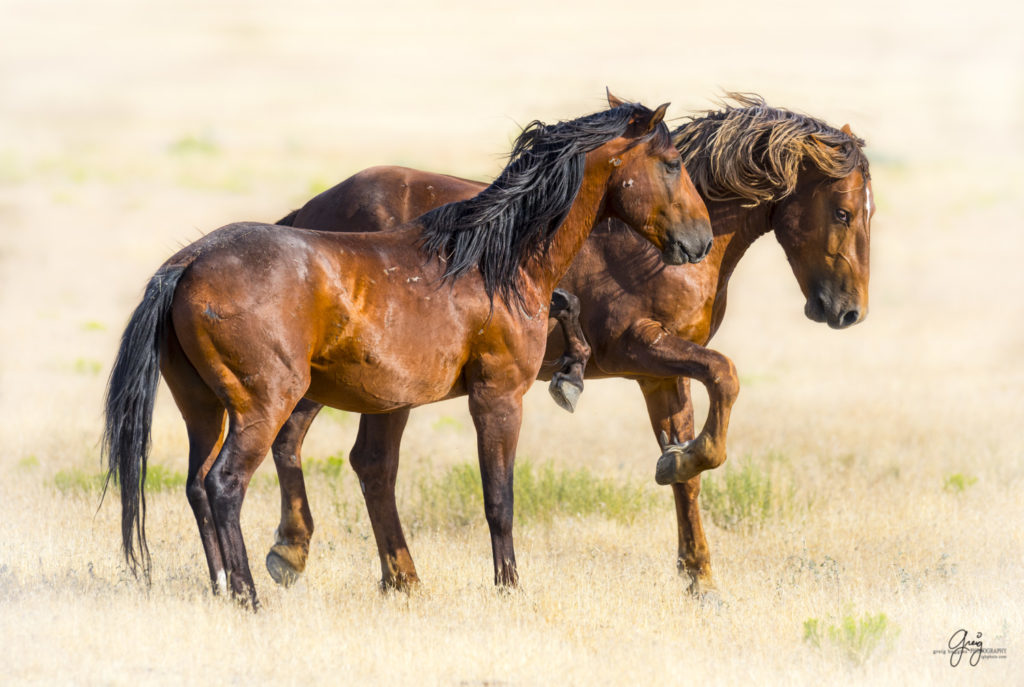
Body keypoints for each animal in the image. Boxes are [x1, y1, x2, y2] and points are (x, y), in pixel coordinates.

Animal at [103, 98, 712, 606]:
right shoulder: (498, 398)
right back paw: (251, 595)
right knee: (225, 484)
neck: (497, 261)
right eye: (672, 162)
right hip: (263, 406)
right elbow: (499, 500)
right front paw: (509, 588)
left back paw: (224, 587)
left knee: (197, 487)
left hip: (204, 410)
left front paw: (571, 374)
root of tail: (187, 265)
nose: (700, 241)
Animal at [262, 94, 872, 597]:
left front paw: (699, 573)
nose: (848, 311)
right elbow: (726, 376)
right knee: (353, 458)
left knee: (339, 454)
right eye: (843, 212)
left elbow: (692, 469)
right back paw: (314, 557)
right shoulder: (640, 348)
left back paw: (354, 568)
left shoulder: (662, 374)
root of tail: (309, 212)